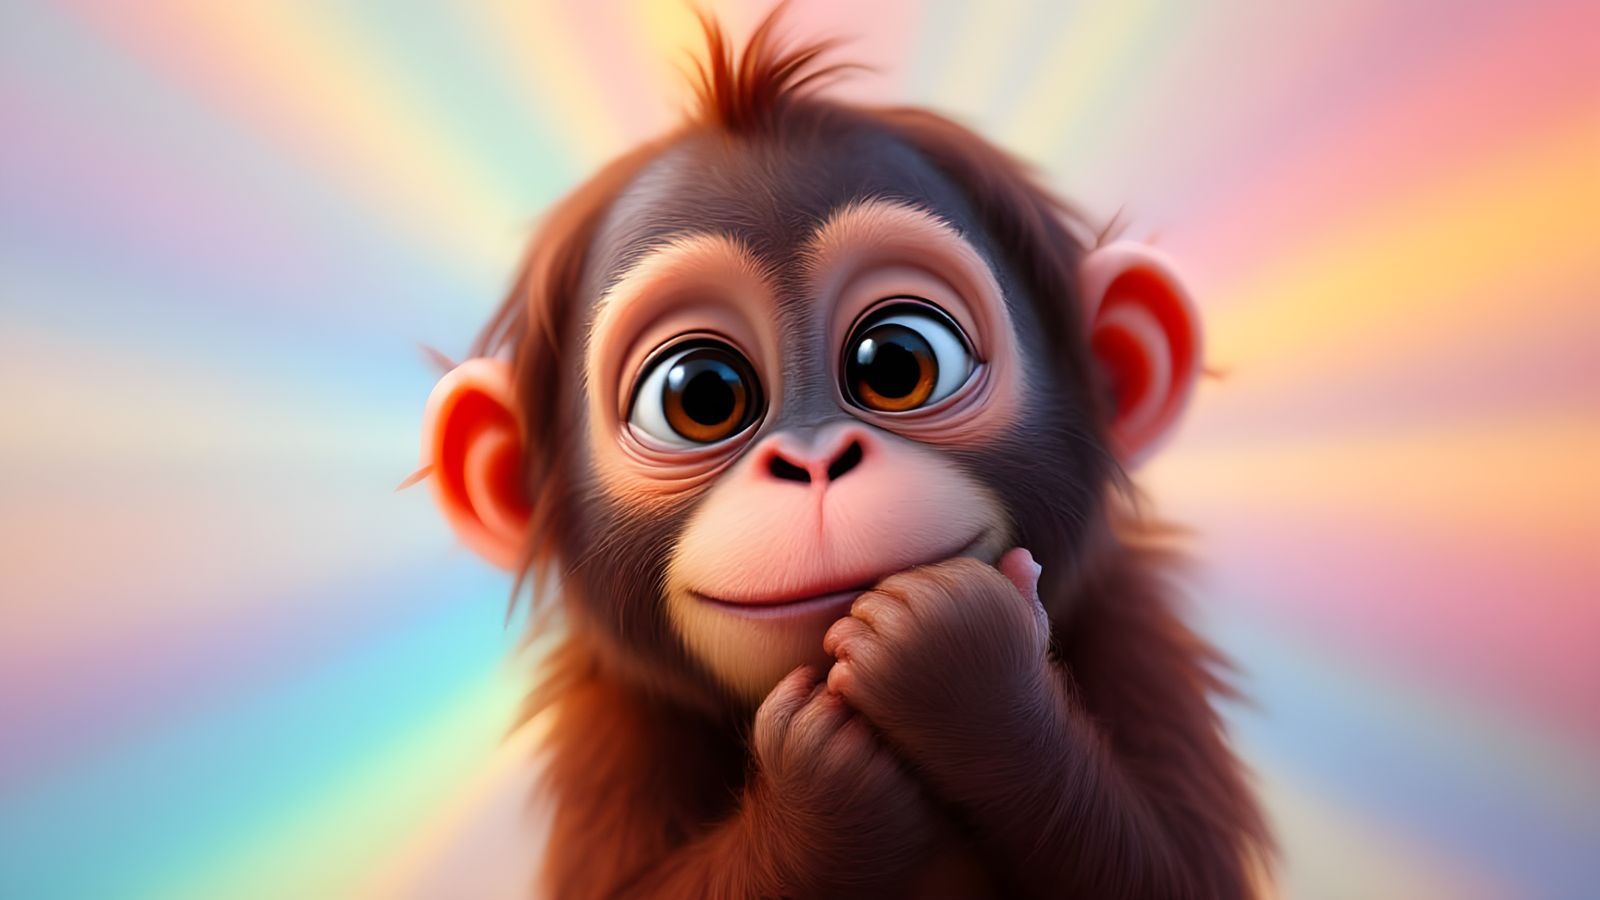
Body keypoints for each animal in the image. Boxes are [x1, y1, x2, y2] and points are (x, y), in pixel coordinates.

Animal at [417, 9, 1271, 899]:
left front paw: (956, 659)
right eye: (702, 396)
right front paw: (823, 774)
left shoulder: (1136, 629)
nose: (817, 463)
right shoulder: (614, 715)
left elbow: (1176, 868)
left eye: (895, 363)